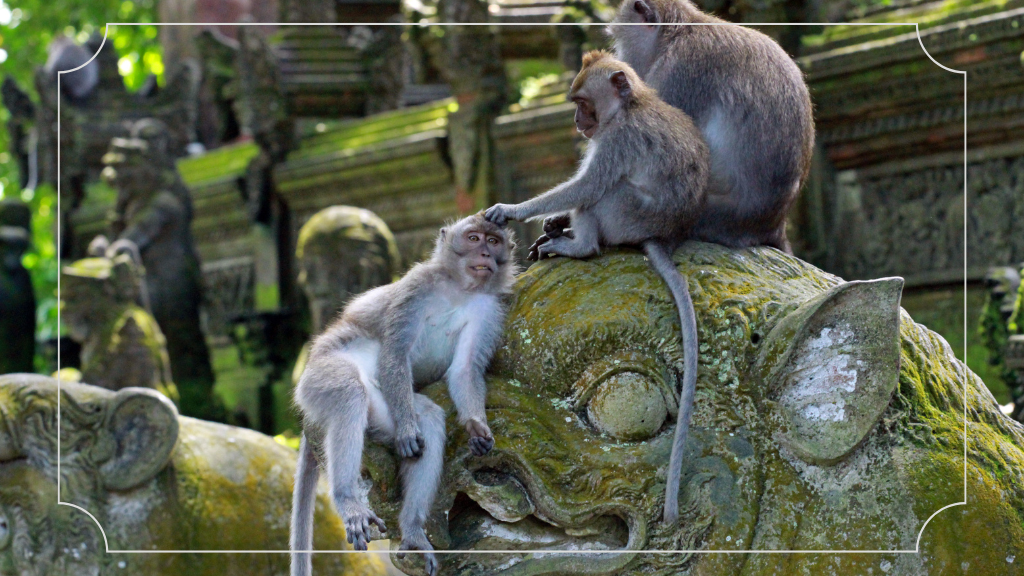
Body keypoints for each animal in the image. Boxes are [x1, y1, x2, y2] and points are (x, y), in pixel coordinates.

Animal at [290, 213, 517, 576]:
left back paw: (411, 529)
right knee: (350, 393)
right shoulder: (417, 287)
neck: (459, 289)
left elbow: (464, 370)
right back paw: (347, 499)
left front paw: (476, 427)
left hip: (386, 403)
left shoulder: (490, 309)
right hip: (319, 378)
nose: (484, 254)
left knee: (429, 419)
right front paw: (411, 432)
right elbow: (395, 352)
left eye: (493, 241)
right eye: (473, 237)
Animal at [484, 50, 707, 524]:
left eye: (583, 102)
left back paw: (579, 245)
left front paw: (513, 210)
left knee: (601, 193)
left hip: (626, 215)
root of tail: (664, 235)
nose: (576, 120)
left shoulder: (617, 140)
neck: (630, 107)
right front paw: (551, 220)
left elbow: (587, 185)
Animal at [610, 0, 815, 253]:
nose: (621, 59)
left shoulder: (680, 70)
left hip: (708, 215)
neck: (679, 32)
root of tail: (773, 225)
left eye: (619, 40)